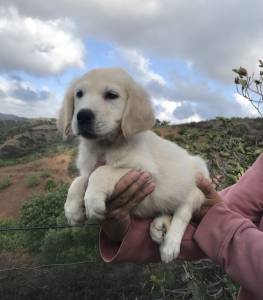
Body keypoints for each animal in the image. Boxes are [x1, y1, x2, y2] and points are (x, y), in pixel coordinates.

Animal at [57, 67, 210, 262]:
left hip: (197, 185)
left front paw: (92, 201)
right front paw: (72, 210)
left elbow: (103, 171)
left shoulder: (146, 171)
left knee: (183, 212)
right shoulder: (89, 168)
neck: (104, 145)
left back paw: (170, 245)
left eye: (111, 95)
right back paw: (159, 225)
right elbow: (79, 180)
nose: (83, 116)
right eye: (79, 94)